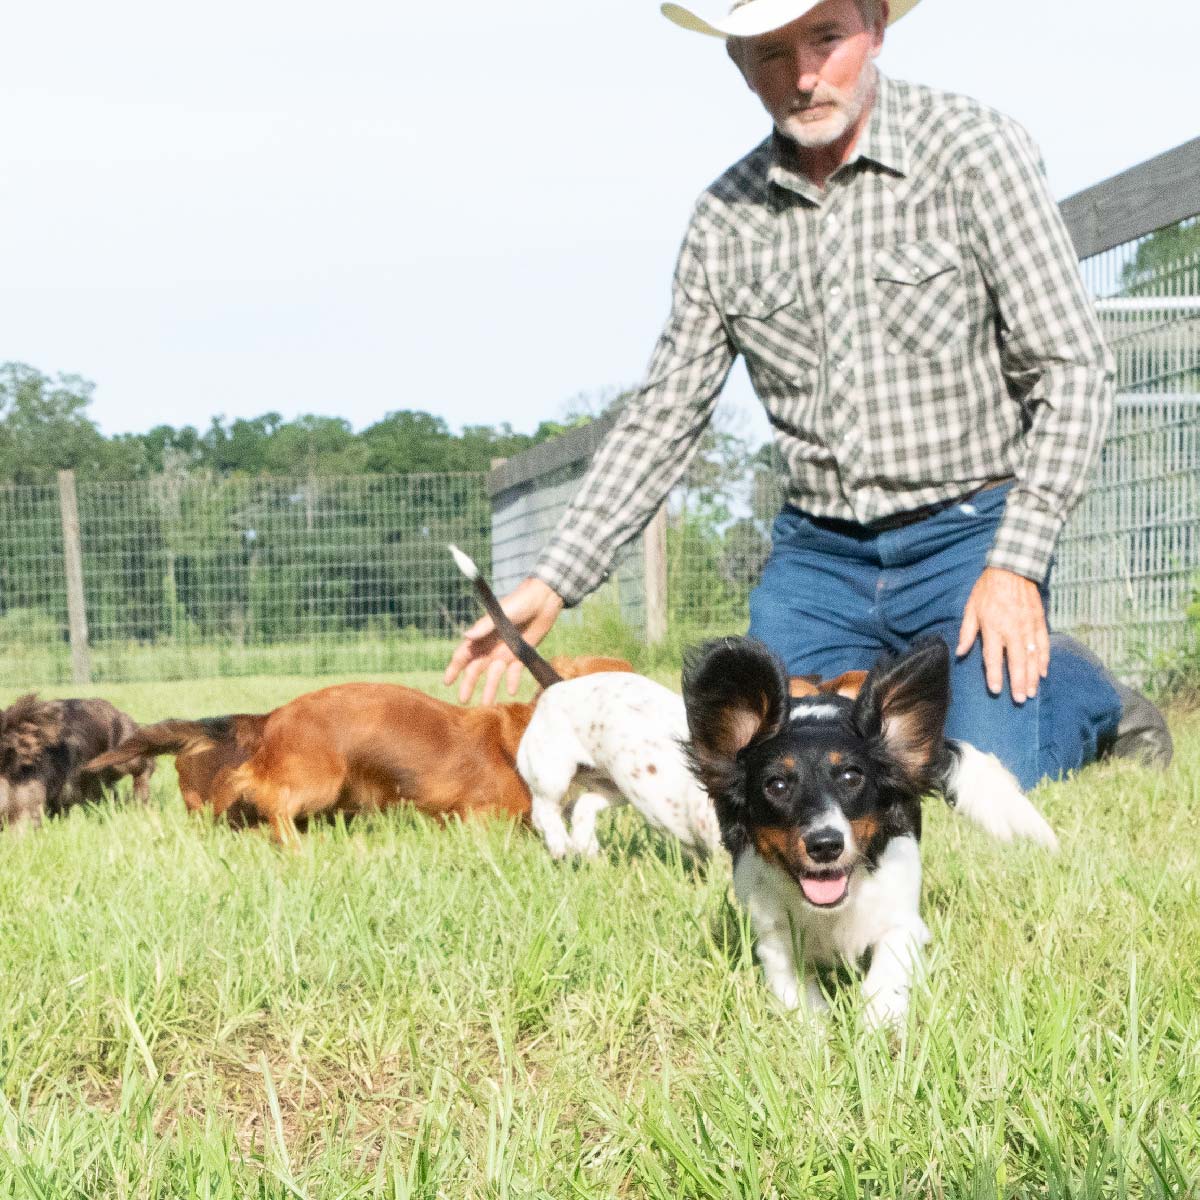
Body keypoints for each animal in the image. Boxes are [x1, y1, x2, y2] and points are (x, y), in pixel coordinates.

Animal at [448, 549, 710, 859]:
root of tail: (559, 684)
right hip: (551, 774)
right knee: (545, 812)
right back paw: (560, 844)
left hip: (614, 784)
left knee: (584, 806)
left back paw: (586, 845)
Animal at [686, 638, 1060, 1032]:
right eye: (776, 785)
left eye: (852, 776)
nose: (825, 845)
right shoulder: (773, 937)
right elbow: (797, 991)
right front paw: (815, 1031)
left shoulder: (902, 919)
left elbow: (885, 974)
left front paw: (880, 1026)